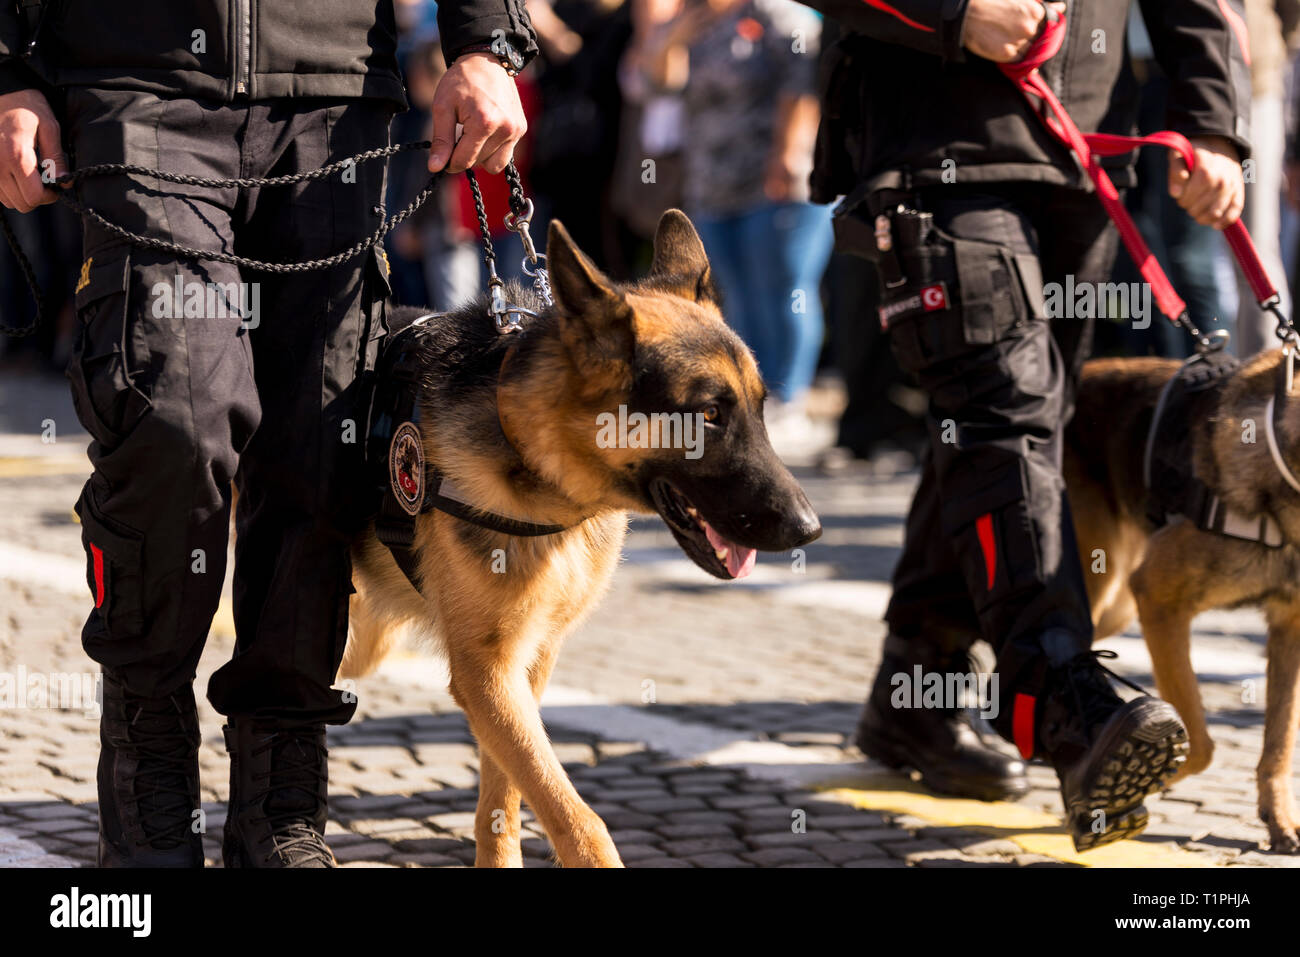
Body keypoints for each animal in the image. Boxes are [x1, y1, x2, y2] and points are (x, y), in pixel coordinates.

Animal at [338, 210, 821, 868]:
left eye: (759, 408)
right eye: (708, 415)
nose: (810, 528)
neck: (532, 458)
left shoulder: (524, 665)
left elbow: (506, 797)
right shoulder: (486, 673)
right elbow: (576, 816)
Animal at [1066, 351, 1300, 852]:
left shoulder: (1289, 629)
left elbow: (1279, 742)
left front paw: (1279, 819)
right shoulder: (1159, 600)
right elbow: (1199, 741)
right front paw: (1137, 780)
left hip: (1115, 607)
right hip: (1098, 590)